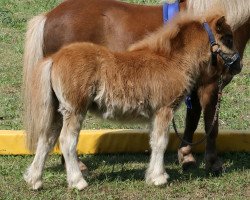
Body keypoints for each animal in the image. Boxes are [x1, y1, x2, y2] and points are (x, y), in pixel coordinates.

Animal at [23, 10, 242, 191]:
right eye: (228, 38)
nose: (238, 66)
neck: (171, 61)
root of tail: (54, 59)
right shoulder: (164, 109)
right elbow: (161, 142)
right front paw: (159, 178)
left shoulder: (155, 113)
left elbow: (154, 141)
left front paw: (152, 176)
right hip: (75, 110)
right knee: (67, 141)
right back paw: (78, 182)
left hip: (58, 111)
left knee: (46, 139)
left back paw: (35, 180)